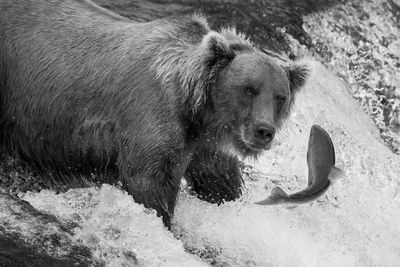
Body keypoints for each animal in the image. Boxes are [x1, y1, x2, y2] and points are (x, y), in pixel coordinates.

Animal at [0, 0, 310, 228]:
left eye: (280, 97)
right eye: (249, 88)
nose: (264, 131)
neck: (196, 111)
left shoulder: (205, 145)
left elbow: (220, 182)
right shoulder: (152, 120)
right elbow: (149, 184)